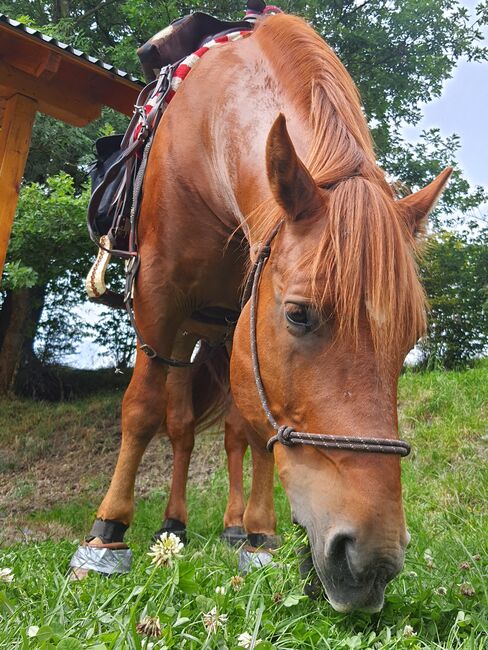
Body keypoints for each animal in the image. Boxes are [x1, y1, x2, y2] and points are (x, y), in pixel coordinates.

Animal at [79, 13, 450, 612]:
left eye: (411, 338)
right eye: (299, 315)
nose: (372, 562)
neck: (209, 135)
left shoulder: (240, 320)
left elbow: (252, 429)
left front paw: (258, 536)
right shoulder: (156, 295)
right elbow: (139, 410)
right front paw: (106, 536)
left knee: (223, 430)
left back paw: (226, 526)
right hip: (182, 331)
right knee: (178, 423)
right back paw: (171, 524)